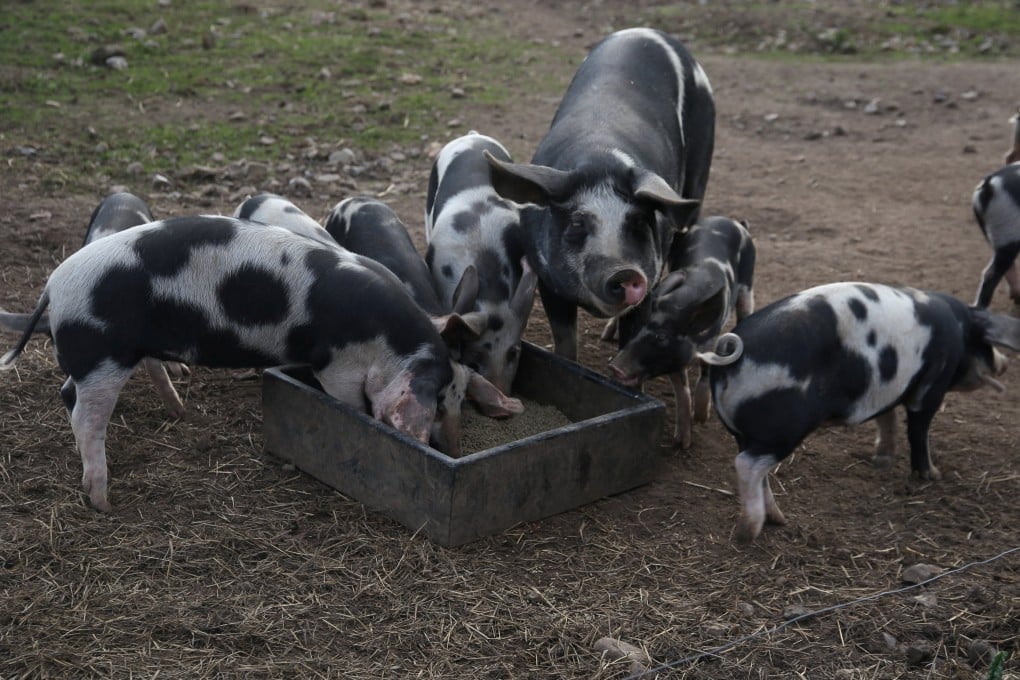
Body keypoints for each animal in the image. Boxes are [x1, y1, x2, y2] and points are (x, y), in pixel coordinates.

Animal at [0, 216, 522, 512]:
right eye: (438, 404)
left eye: (461, 399)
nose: (450, 450)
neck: (390, 343)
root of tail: (53, 286)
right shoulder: (340, 367)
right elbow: (350, 403)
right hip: (101, 355)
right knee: (85, 417)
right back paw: (103, 503)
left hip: (105, 358)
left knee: (71, 395)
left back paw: (176, 414)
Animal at [485, 27, 714, 361]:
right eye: (577, 223)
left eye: (638, 221)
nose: (624, 271)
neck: (599, 158)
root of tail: (649, 31)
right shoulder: (547, 281)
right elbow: (565, 342)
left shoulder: (650, 277)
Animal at [607, 216, 755, 449]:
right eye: (636, 328)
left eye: (661, 337)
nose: (615, 367)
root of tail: (731, 221)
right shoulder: (673, 359)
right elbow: (682, 392)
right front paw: (681, 443)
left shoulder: (710, 341)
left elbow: (706, 372)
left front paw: (701, 418)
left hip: (748, 288)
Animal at [707, 282, 1020, 543]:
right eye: (985, 343)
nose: (1004, 363)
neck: (958, 328)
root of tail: (731, 356)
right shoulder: (931, 387)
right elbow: (918, 430)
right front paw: (932, 475)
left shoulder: (886, 390)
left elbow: (886, 418)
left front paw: (882, 459)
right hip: (784, 427)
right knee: (747, 465)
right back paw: (747, 534)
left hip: (748, 432)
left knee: (758, 469)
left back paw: (778, 520)